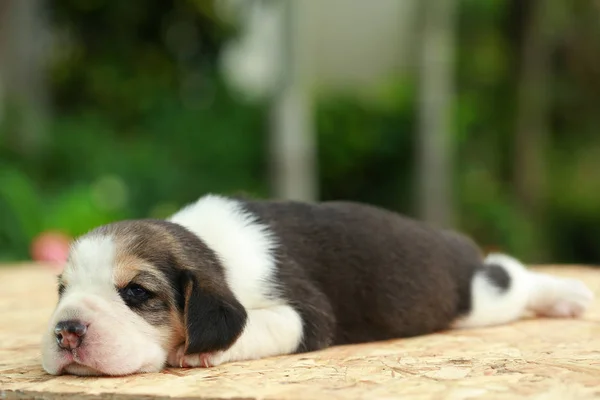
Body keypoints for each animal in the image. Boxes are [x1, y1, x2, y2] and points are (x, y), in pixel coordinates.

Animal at [42, 194, 596, 376]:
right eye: (61, 289)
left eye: (137, 293)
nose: (66, 331)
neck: (210, 247)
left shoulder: (304, 313)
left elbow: (258, 325)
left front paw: (200, 352)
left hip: (479, 300)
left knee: (510, 275)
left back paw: (568, 296)